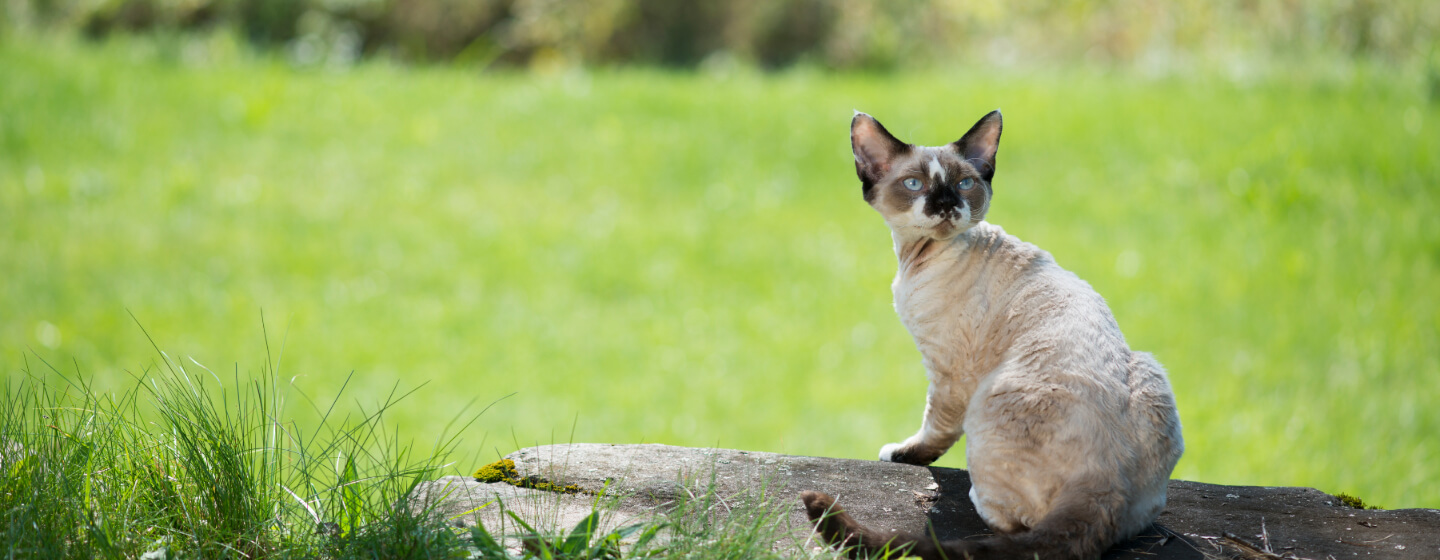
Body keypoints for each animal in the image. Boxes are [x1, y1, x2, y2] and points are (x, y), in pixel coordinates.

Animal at [800, 110, 1180, 558]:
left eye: (963, 184)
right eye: (915, 185)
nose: (947, 204)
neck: (916, 257)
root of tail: (1107, 484)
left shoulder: (946, 372)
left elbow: (933, 429)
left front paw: (901, 455)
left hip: (987, 399)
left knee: (1012, 523)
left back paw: (974, 497)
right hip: (1152, 368)